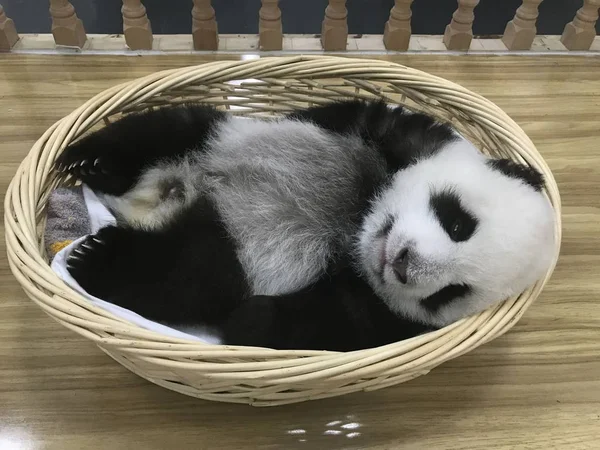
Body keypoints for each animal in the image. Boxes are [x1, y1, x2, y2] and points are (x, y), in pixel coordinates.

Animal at [56, 99, 556, 352]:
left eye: (449, 294)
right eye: (456, 223)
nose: (402, 263)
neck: (357, 221)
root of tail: (159, 198)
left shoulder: (381, 316)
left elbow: (325, 324)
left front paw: (251, 320)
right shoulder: (401, 136)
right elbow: (345, 115)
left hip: (232, 254)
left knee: (187, 272)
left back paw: (93, 257)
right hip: (212, 139)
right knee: (174, 128)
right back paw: (93, 161)